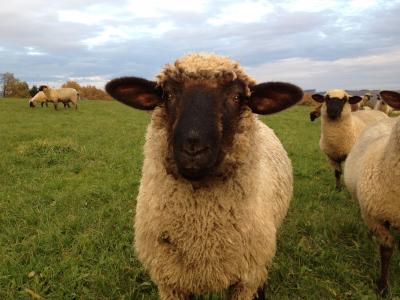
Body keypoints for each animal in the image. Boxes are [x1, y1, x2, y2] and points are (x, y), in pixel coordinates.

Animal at [104, 52, 302, 298]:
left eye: (237, 97)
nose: (193, 147)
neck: (201, 235)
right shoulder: (170, 282)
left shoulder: (245, 280)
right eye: (168, 94)